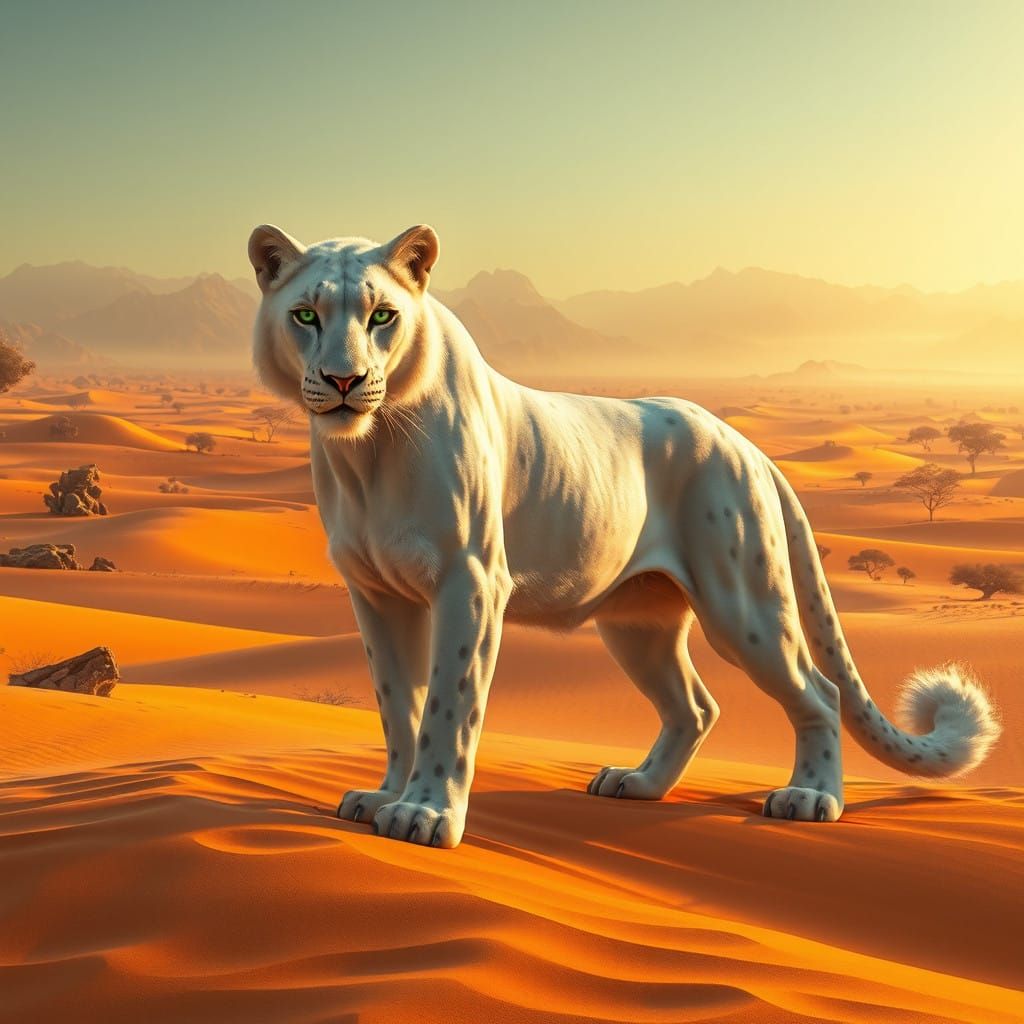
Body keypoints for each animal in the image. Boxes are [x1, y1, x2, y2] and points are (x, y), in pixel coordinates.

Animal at [248, 223, 1001, 849]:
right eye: (306, 314)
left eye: (383, 315)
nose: (345, 379)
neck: (368, 451)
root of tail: (746, 445)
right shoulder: (375, 591)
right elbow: (395, 703)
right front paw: (384, 797)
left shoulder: (471, 581)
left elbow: (448, 705)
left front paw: (426, 814)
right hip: (636, 621)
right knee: (696, 705)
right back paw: (637, 784)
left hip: (743, 604)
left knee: (819, 691)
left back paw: (811, 798)